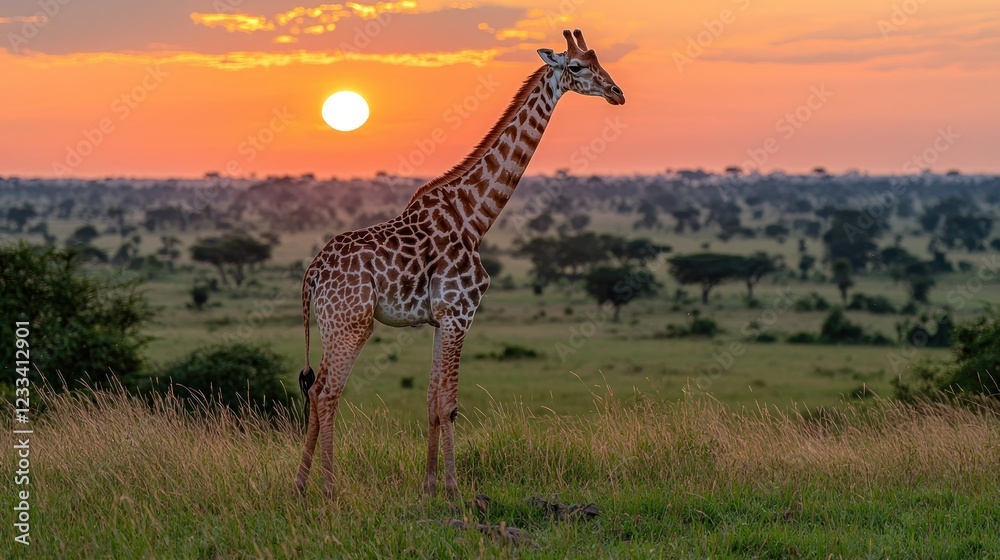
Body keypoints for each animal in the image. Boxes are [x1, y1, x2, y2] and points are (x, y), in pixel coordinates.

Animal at [294, 29, 625, 500]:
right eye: (577, 67)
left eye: (601, 63)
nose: (617, 93)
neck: (475, 216)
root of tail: (312, 275)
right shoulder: (460, 312)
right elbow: (450, 403)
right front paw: (454, 490)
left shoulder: (440, 318)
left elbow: (432, 401)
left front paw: (430, 486)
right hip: (351, 323)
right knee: (327, 392)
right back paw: (328, 490)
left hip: (332, 324)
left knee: (316, 389)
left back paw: (300, 486)